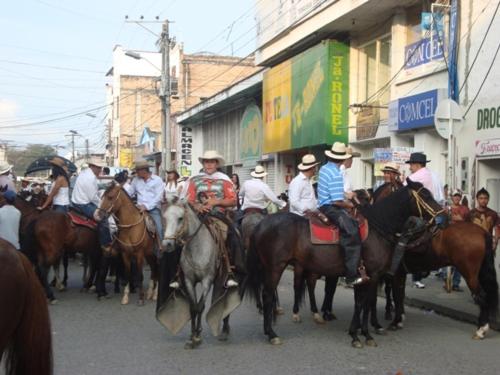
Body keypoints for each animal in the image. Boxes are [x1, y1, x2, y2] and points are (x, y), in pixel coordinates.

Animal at [246, 181, 446, 348]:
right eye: (426, 195)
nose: (445, 215)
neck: (377, 229)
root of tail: (261, 225)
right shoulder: (372, 275)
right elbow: (367, 303)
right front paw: (365, 335)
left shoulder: (364, 277)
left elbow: (361, 303)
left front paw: (356, 332)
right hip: (275, 267)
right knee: (268, 295)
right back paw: (272, 333)